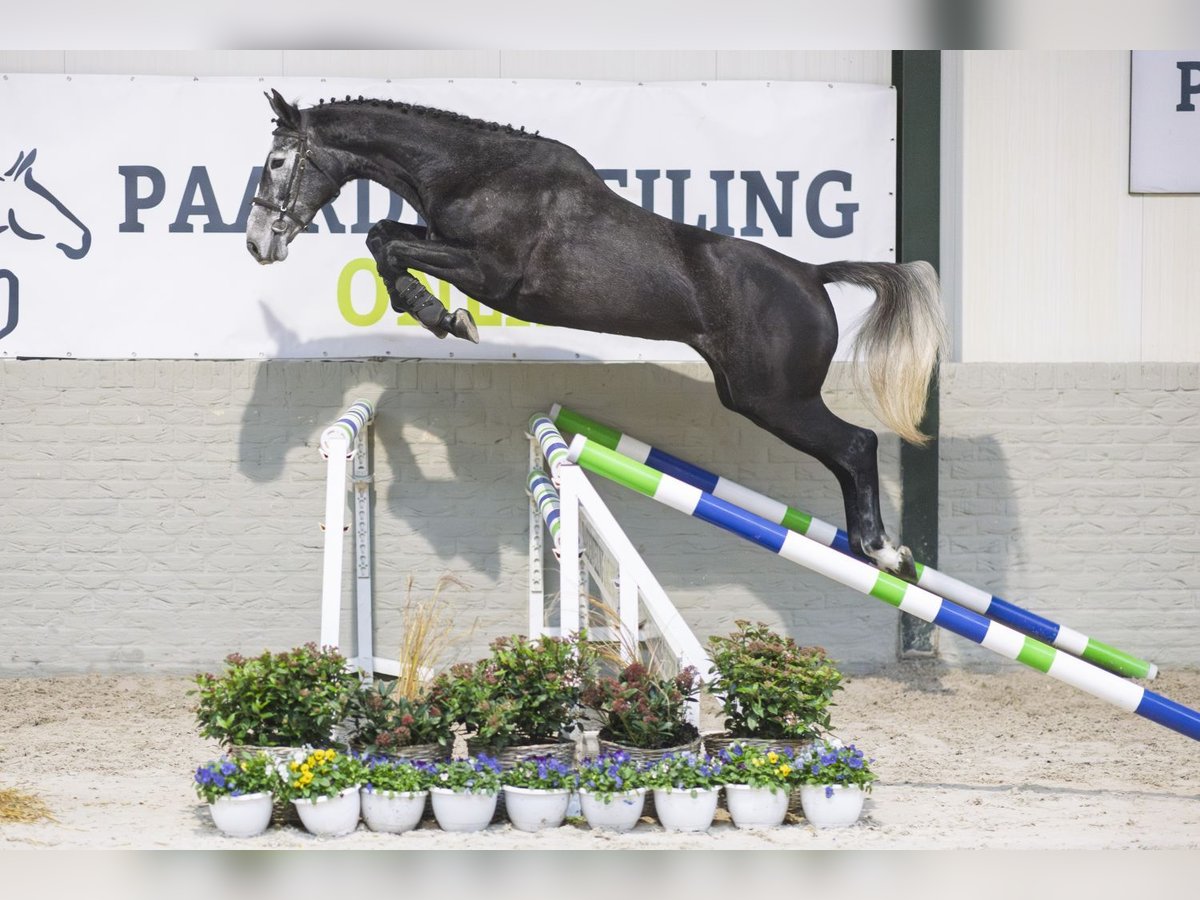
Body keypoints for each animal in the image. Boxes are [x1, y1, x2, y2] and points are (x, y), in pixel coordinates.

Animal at [246, 88, 945, 573]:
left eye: (277, 161)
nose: (258, 244)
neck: (477, 171)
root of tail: (813, 275)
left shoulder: (489, 273)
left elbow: (389, 246)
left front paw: (446, 319)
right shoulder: (450, 248)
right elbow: (384, 236)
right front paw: (434, 313)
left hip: (774, 399)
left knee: (855, 445)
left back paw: (885, 553)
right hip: (755, 396)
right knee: (848, 451)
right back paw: (876, 551)